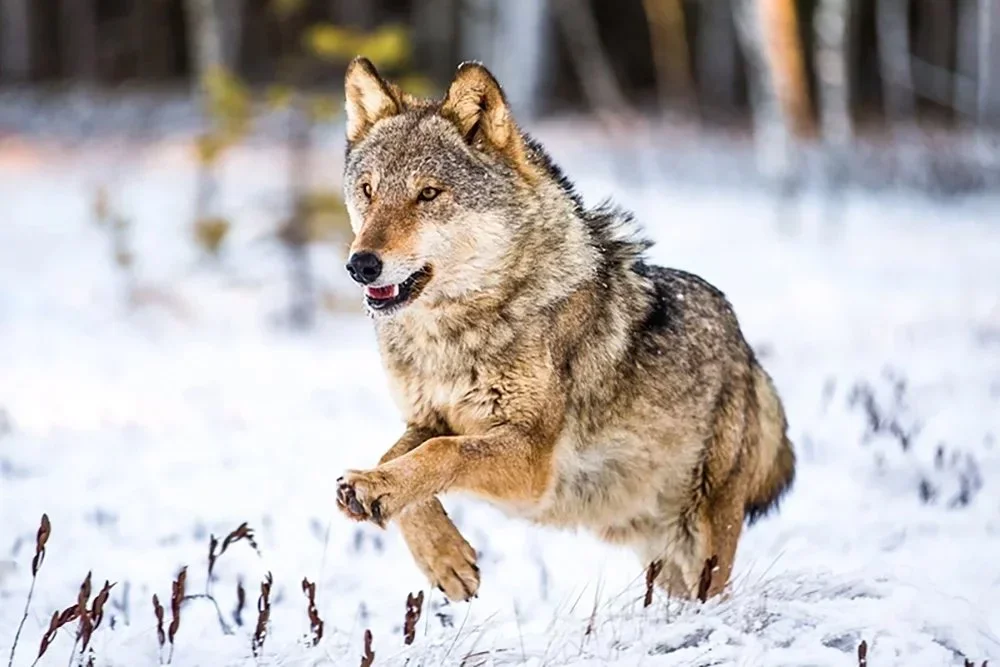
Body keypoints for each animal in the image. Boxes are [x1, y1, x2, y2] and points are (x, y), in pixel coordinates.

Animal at [334, 56, 795, 602]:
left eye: (428, 194)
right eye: (368, 191)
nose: (361, 265)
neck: (455, 333)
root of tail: (749, 353)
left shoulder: (531, 459)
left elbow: (443, 453)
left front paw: (377, 490)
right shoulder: (427, 418)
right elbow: (403, 455)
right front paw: (439, 554)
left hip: (703, 538)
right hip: (658, 550)